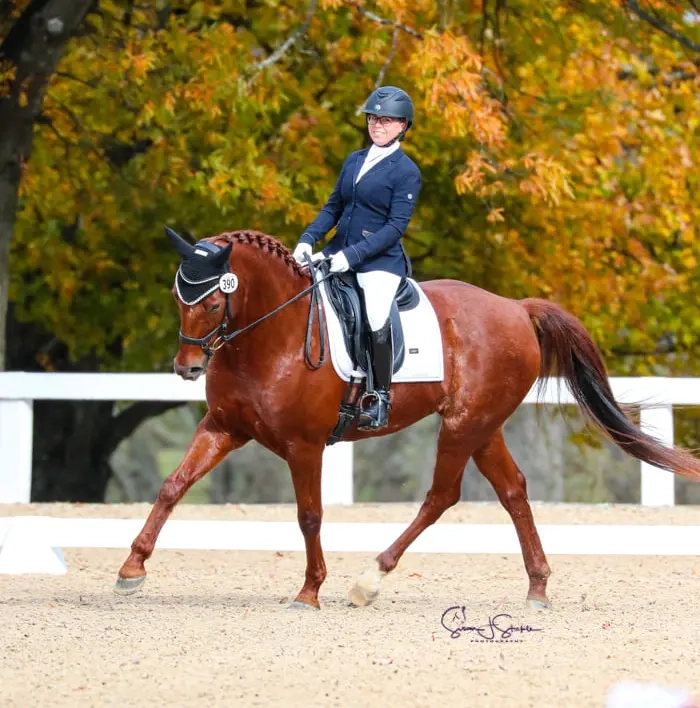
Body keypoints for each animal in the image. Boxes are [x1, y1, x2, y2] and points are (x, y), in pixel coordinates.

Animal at [112, 228, 696, 608]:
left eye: (213, 303)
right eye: (177, 297)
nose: (186, 368)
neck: (269, 335)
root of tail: (515, 307)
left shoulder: (304, 444)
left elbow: (309, 516)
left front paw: (310, 590)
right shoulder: (224, 428)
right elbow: (173, 485)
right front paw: (132, 569)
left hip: (463, 425)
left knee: (442, 496)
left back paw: (369, 580)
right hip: (483, 426)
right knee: (513, 491)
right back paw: (537, 587)